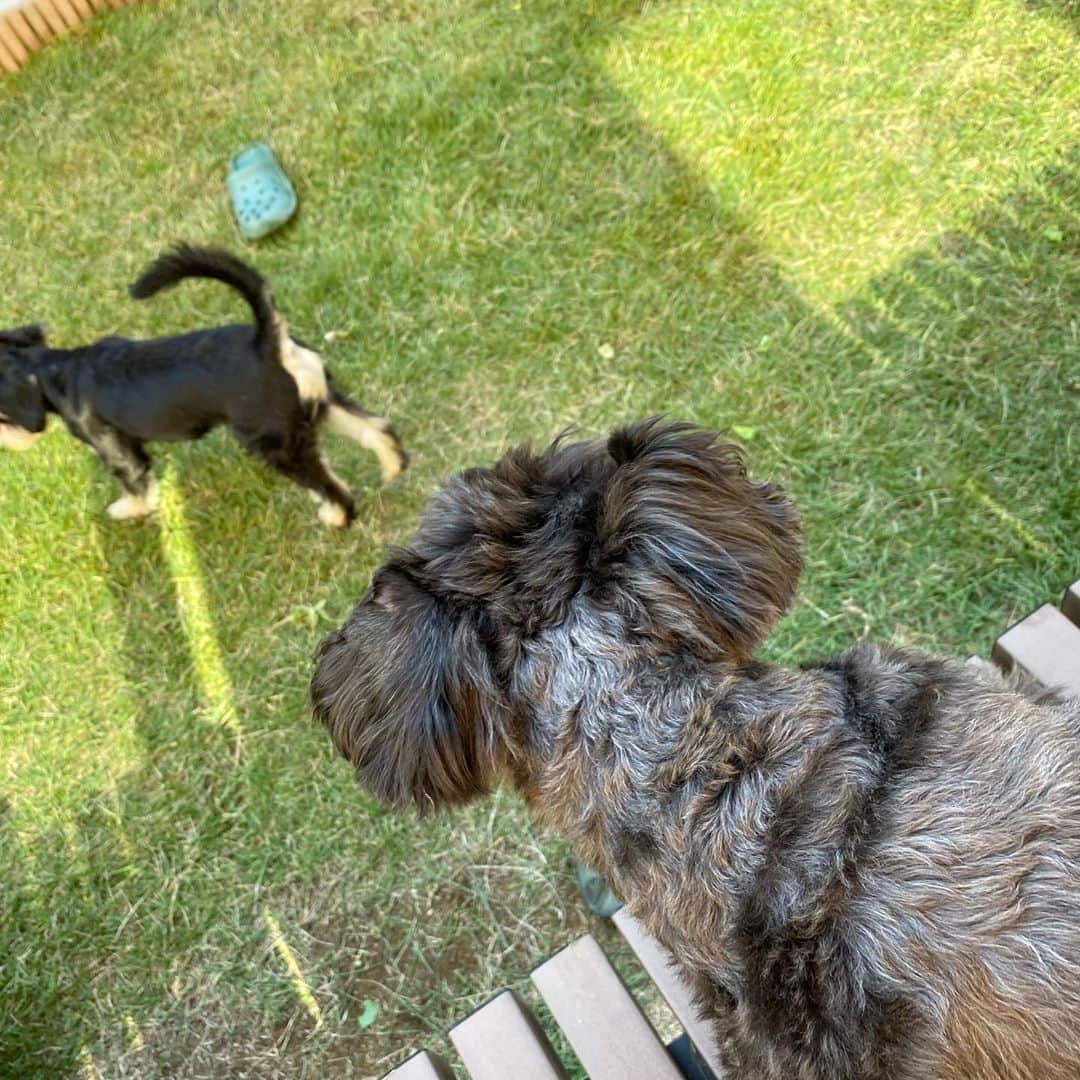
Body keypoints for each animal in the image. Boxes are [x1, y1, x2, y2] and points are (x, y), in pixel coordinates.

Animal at [0, 248, 406, 527]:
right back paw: (394, 467)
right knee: (375, 427)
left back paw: (337, 516)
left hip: (274, 444)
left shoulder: (117, 451)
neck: (56, 371)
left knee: (331, 484)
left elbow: (136, 484)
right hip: (320, 402)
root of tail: (266, 343)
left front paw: (126, 510)